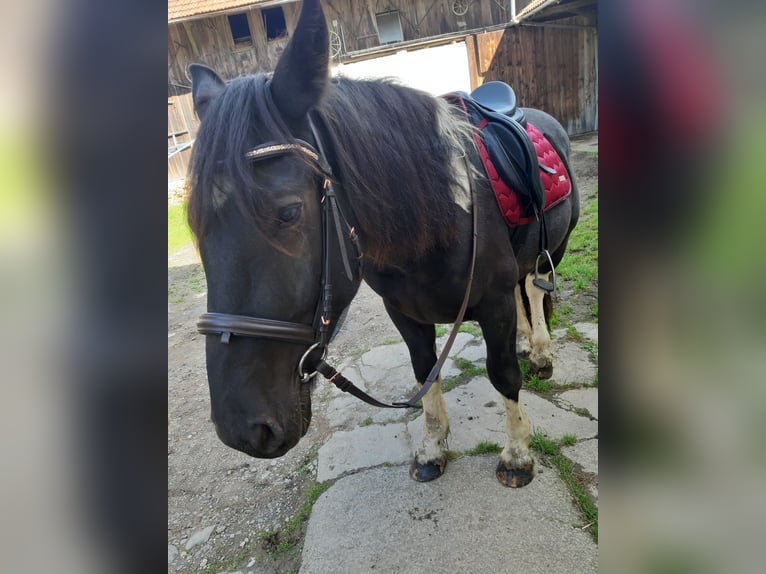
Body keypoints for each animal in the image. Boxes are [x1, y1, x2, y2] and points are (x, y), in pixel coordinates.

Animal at [189, 0, 580, 490]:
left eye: (289, 212)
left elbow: (503, 372)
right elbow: (425, 371)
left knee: (533, 287)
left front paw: (517, 455)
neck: (442, 215)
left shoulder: (492, 304)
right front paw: (432, 448)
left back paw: (541, 352)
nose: (243, 429)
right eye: (193, 225)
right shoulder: (405, 312)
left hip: (555, 247)